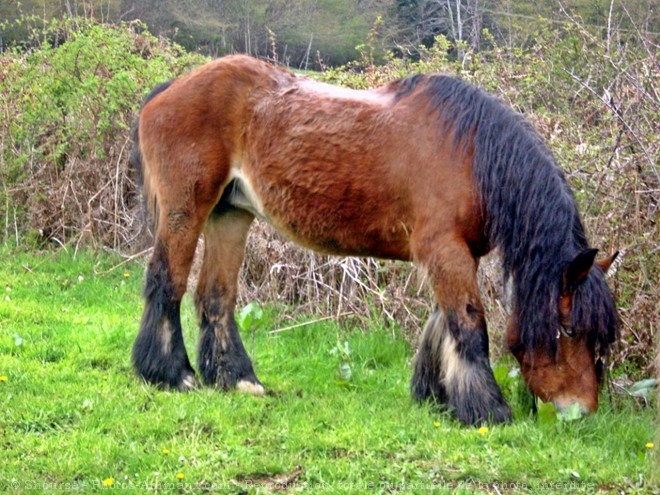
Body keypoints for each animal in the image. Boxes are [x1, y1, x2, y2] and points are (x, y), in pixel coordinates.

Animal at [127, 54, 620, 426]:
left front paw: (435, 396)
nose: (582, 411)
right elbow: (469, 325)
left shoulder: (453, 254)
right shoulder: (446, 251)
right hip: (185, 211)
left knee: (216, 296)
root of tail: (168, 90)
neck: (471, 155)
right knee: (166, 282)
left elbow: (441, 324)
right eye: (569, 328)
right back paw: (171, 374)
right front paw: (487, 410)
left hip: (230, 215)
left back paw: (238, 380)